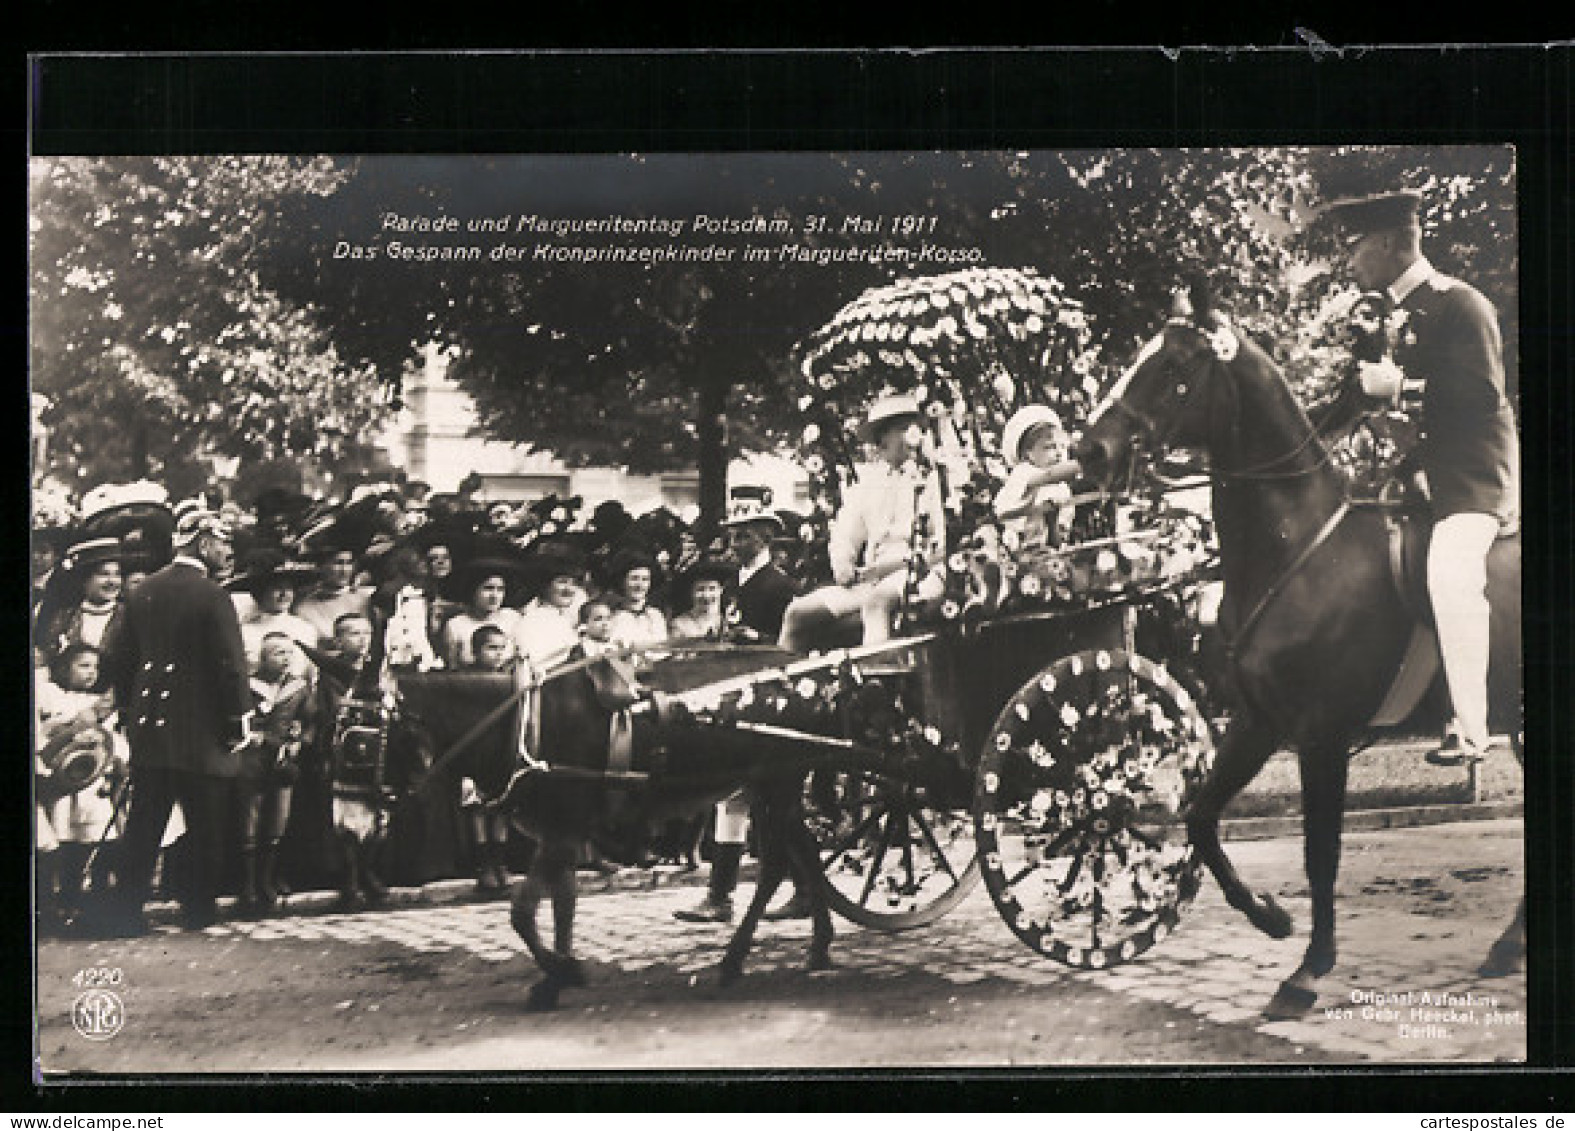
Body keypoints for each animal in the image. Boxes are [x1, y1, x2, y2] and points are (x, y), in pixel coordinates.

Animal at [393, 652, 837, 1014]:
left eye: (375, 731)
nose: (396, 809)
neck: (523, 722)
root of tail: (817, 678)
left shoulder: (561, 832)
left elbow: (522, 913)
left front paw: (562, 972)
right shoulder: (561, 832)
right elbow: (563, 906)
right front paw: (556, 978)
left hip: (778, 782)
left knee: (775, 865)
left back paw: (735, 960)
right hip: (771, 786)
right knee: (806, 850)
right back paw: (817, 948)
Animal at [1077, 288, 1518, 1020]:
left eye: (1175, 366)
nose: (1091, 449)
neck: (1300, 549)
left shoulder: (1320, 737)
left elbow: (1320, 853)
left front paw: (1308, 970)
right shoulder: (1259, 724)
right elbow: (1200, 816)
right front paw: (1269, 916)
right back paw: (1508, 946)